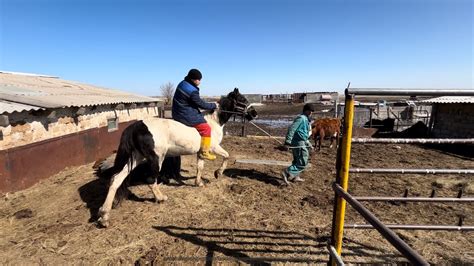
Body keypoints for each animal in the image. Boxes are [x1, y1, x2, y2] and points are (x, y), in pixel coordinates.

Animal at [94, 88, 254, 228]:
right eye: (242, 99)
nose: (254, 113)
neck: (213, 122)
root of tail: (135, 126)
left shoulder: (200, 153)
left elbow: (200, 167)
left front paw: (199, 183)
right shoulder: (214, 148)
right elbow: (227, 156)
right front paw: (218, 173)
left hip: (136, 157)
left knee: (116, 179)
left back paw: (104, 215)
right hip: (156, 158)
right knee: (150, 179)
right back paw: (161, 198)